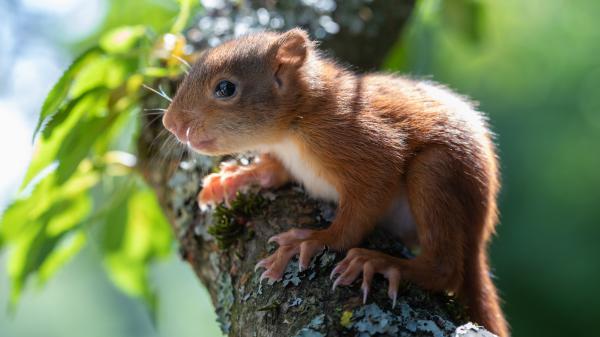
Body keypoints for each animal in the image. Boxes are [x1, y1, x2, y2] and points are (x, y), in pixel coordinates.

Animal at [162, 28, 508, 336]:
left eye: (225, 88)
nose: (170, 123)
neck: (294, 123)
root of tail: (481, 228)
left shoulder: (359, 140)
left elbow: (364, 202)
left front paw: (313, 240)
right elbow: (274, 172)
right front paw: (236, 176)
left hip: (436, 173)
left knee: (445, 269)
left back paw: (384, 264)